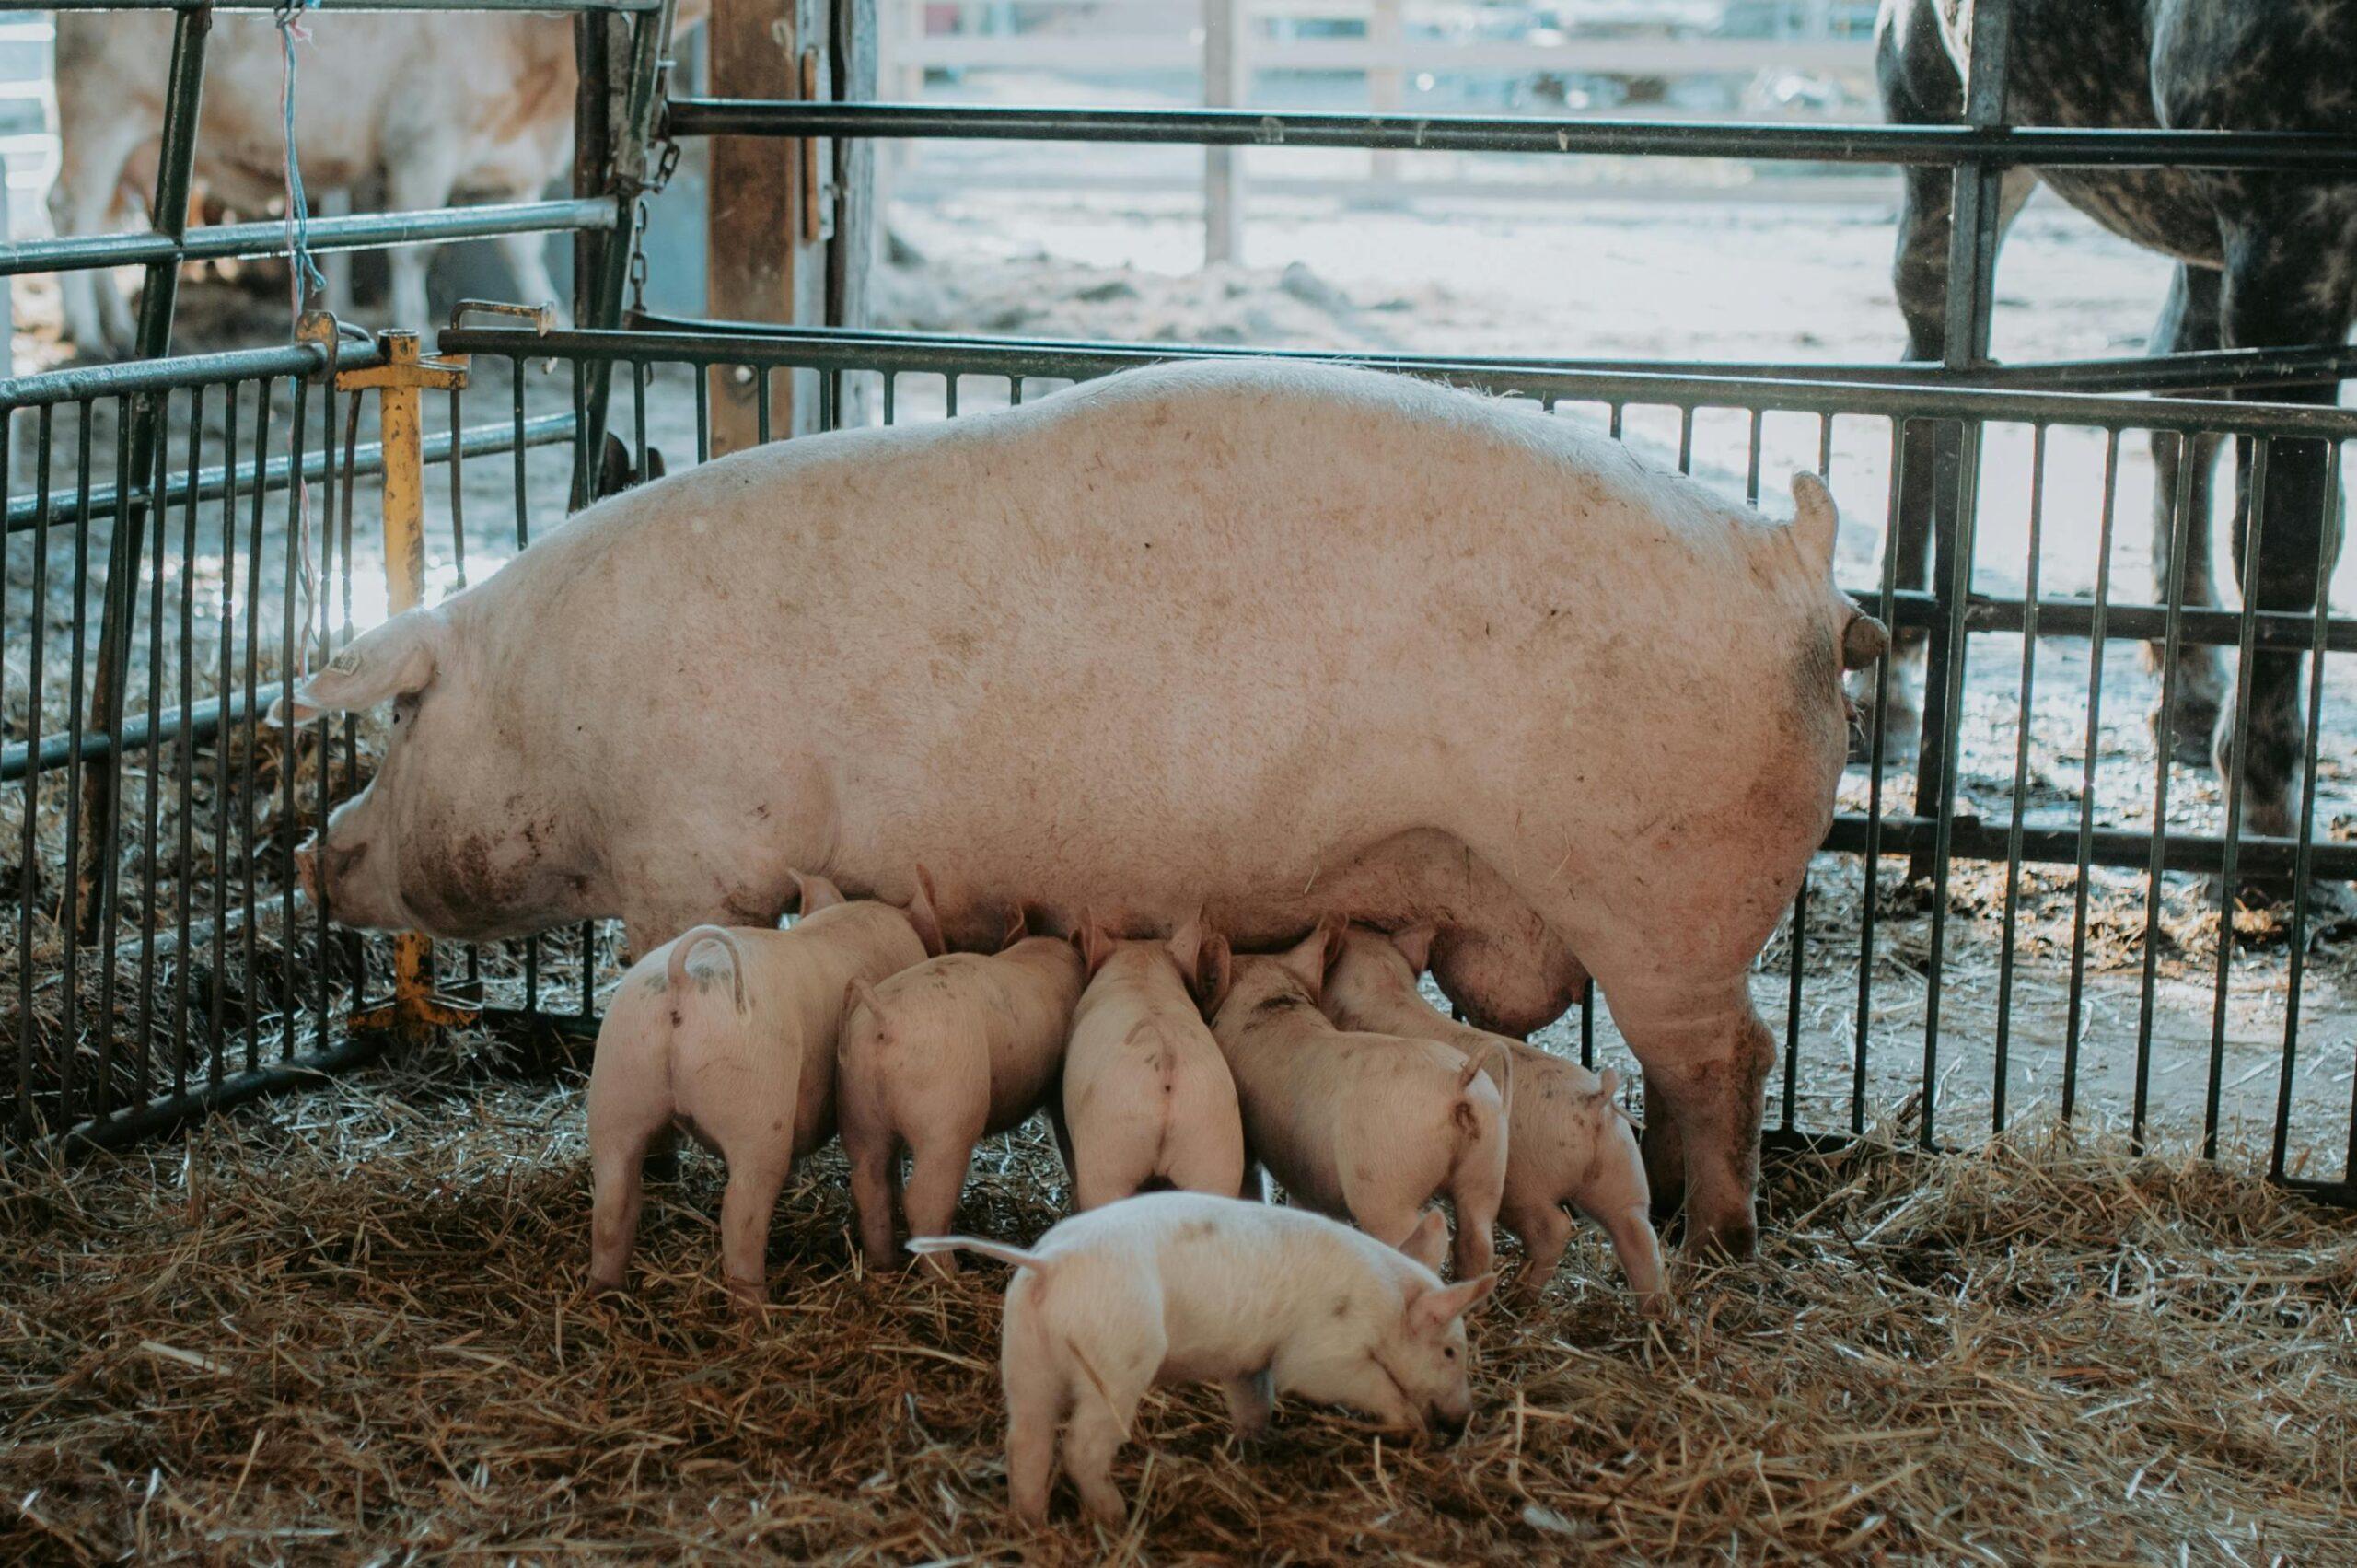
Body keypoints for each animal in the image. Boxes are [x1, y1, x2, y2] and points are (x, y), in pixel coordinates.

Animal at [584, 870, 944, 1305]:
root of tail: (681, 976)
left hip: (619, 1077)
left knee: (613, 1197)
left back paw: (604, 1293)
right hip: (755, 1100)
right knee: (742, 1212)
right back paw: (759, 1308)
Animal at [837, 912, 1087, 1271]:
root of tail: (886, 1017)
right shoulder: (1056, 1084)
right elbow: (1064, 1134)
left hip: (857, 1107)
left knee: (868, 1182)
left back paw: (885, 1266)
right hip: (947, 1115)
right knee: (923, 1198)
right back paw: (950, 1274)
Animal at [910, 1191, 1497, 1527]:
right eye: (1451, 1351)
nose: (1463, 1418)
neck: (1386, 1304)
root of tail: (1050, 1262)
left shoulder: (1248, 1361)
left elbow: (1255, 1399)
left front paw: (1253, 1445)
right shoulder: (1323, 1345)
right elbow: (1334, 1378)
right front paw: (1410, 1426)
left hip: (1024, 1351)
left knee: (1026, 1439)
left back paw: (1032, 1524)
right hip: (1117, 1356)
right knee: (1080, 1446)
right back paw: (1119, 1517)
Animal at [1208, 919, 1509, 1280]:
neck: (1268, 997)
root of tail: (1458, 1082)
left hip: (1386, 1180)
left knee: (1426, 1237)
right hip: (1488, 1162)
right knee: (1477, 1237)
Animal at [1323, 923, 1665, 1310]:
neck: (1384, 989)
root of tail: (1594, 1102)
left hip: (1526, 1181)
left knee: (1553, 1229)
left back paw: (1520, 1296)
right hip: (1622, 1169)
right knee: (1637, 1232)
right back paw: (1652, 1312)